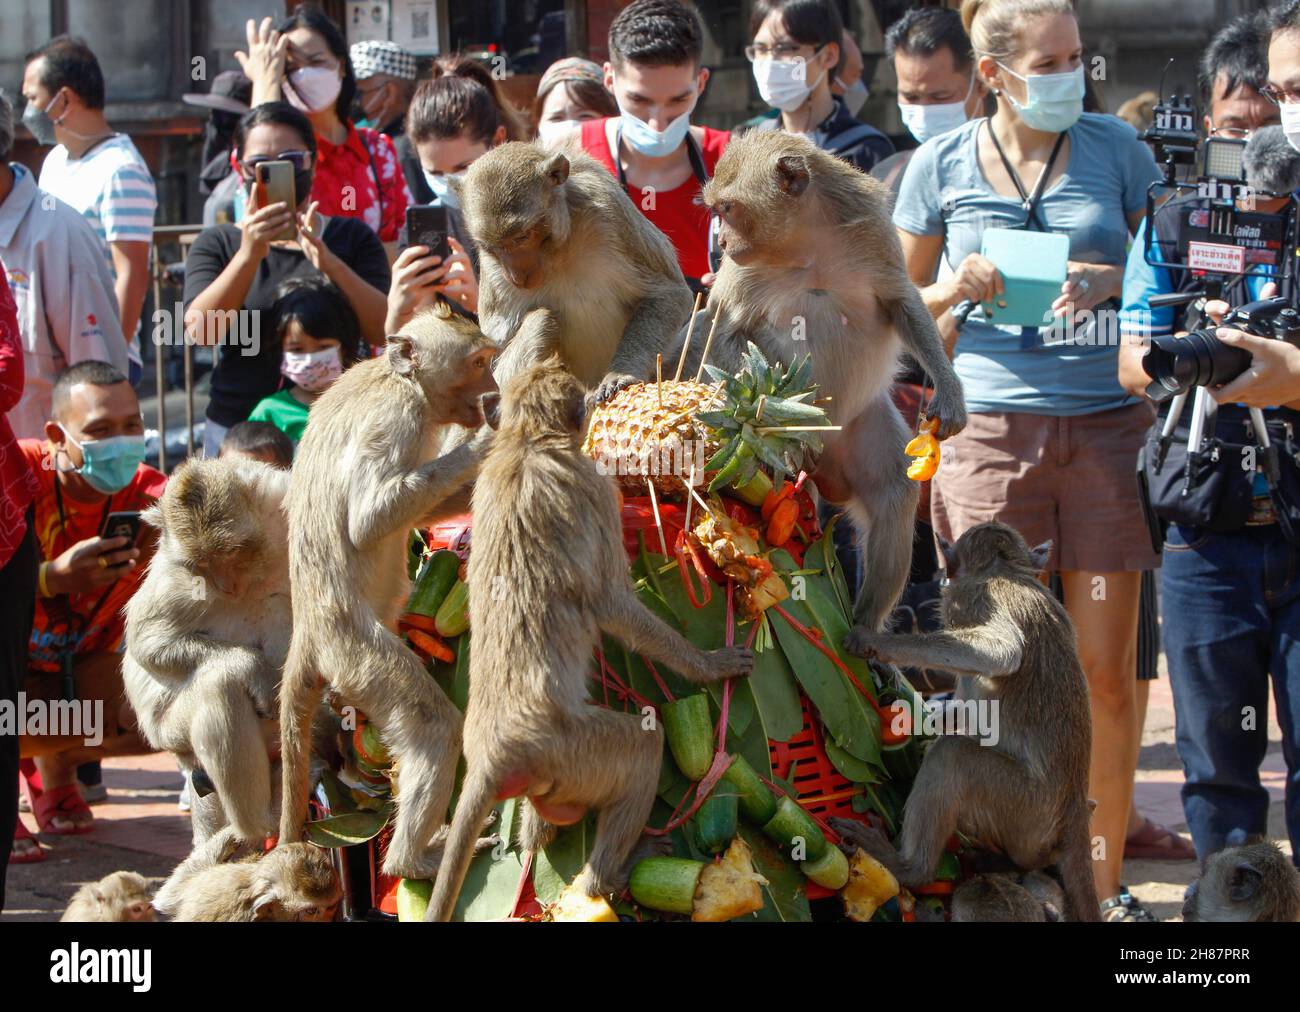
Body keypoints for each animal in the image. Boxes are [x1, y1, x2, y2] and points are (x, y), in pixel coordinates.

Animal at [122, 457, 292, 842]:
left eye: (230, 552)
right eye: (201, 564)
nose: (225, 586)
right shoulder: (177, 576)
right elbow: (147, 641)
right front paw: (255, 670)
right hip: (169, 733)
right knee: (220, 685)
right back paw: (259, 822)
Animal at [426, 359, 754, 920]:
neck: (525, 442)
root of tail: (492, 752)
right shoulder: (596, 489)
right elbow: (611, 603)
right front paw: (709, 665)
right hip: (574, 753)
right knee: (643, 745)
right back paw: (608, 877)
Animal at [460, 139, 696, 400]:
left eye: (520, 238)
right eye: (492, 248)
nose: (516, 277)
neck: (559, 251)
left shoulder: (608, 208)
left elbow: (668, 293)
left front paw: (620, 375)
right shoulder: (491, 266)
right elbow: (492, 351)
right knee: (542, 320)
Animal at [832, 525, 1097, 920]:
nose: (945, 573)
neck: (1005, 567)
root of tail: (1075, 806)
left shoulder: (967, 599)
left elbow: (1001, 653)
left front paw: (876, 643)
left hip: (1022, 805)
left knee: (953, 755)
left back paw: (910, 869)